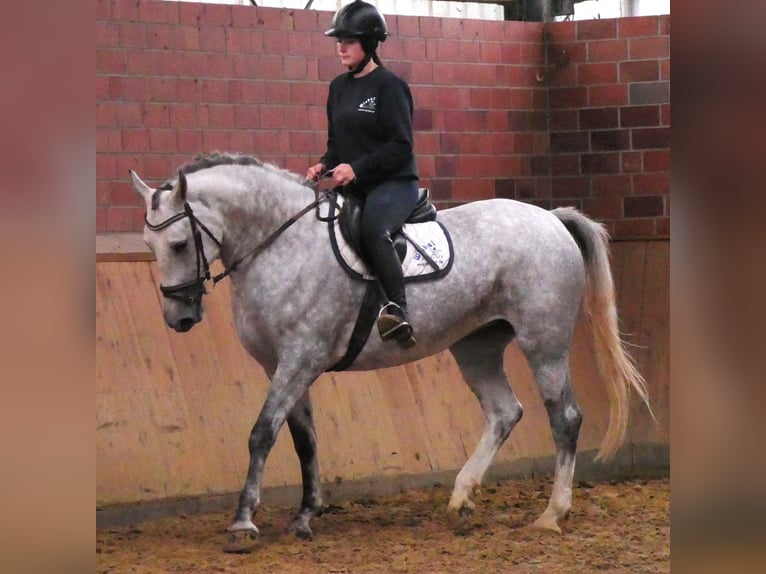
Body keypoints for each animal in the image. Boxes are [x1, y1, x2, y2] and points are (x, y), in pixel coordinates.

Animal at [129, 152, 651, 552]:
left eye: (180, 243)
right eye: (149, 244)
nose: (179, 318)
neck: (280, 244)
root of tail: (550, 217)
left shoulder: (299, 359)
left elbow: (262, 434)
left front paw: (243, 522)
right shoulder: (283, 365)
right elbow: (303, 440)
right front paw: (305, 516)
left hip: (543, 342)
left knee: (564, 417)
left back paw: (551, 514)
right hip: (475, 346)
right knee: (505, 412)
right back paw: (461, 498)